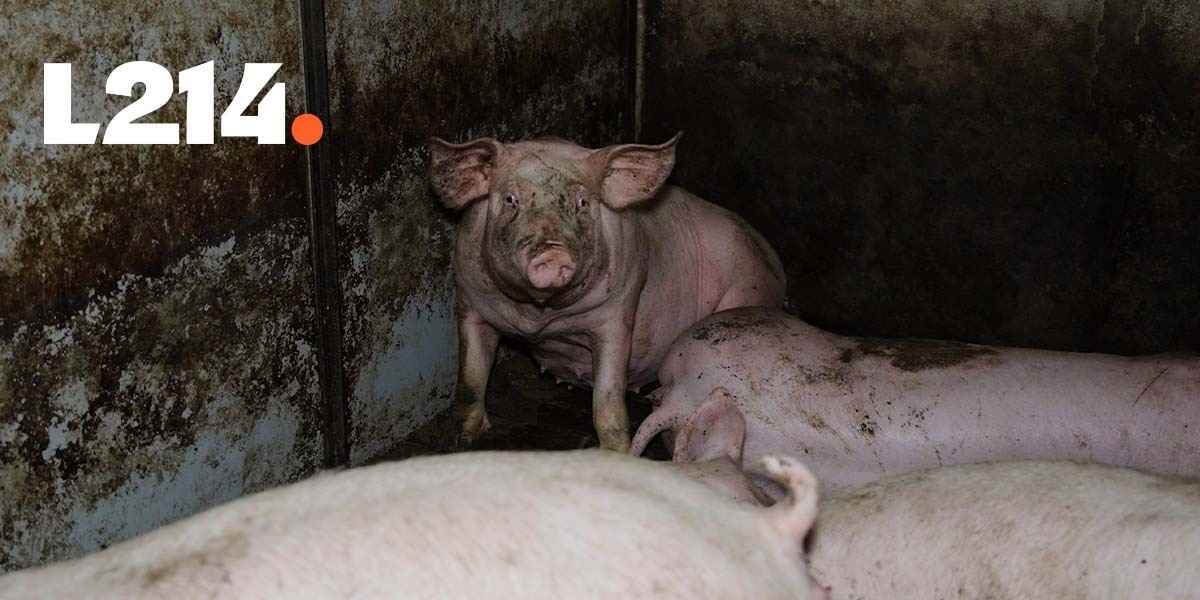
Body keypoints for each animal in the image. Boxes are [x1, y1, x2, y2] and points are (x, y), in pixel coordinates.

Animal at [427, 134, 786, 451]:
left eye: (582, 203)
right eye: (510, 200)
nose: (552, 253)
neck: (540, 317)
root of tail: (774, 262)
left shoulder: (617, 313)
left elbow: (608, 402)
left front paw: (615, 452)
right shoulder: (469, 302)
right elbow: (471, 381)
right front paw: (466, 439)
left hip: (747, 288)